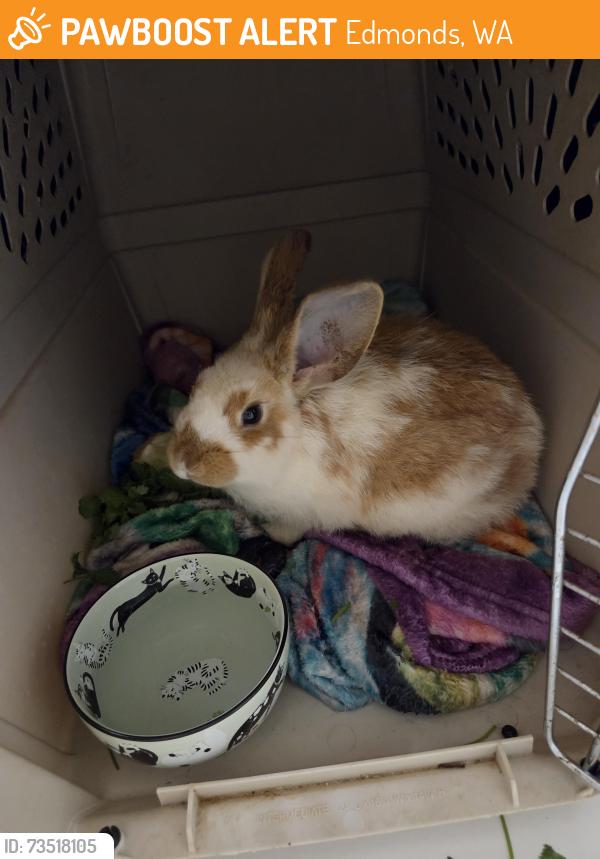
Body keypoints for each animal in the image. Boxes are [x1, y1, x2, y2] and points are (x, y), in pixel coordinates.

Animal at [168, 230, 543, 546]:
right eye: (198, 382)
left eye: (251, 414)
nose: (182, 464)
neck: (298, 432)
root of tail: (532, 433)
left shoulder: (300, 514)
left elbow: (289, 532)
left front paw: (266, 533)